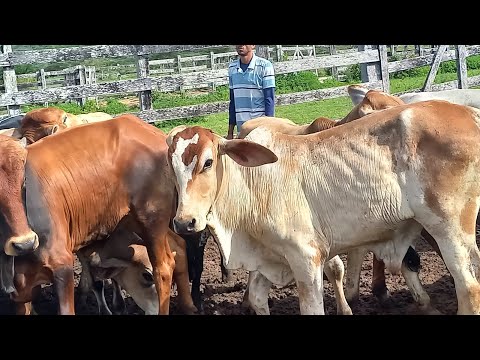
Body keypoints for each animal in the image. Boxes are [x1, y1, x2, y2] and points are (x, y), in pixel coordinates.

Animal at [168, 99, 480, 316]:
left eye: (208, 162)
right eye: (172, 168)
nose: (184, 222)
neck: (252, 183)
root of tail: (469, 114)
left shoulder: (306, 257)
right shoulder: (269, 258)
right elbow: (256, 299)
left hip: (449, 228)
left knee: (468, 288)